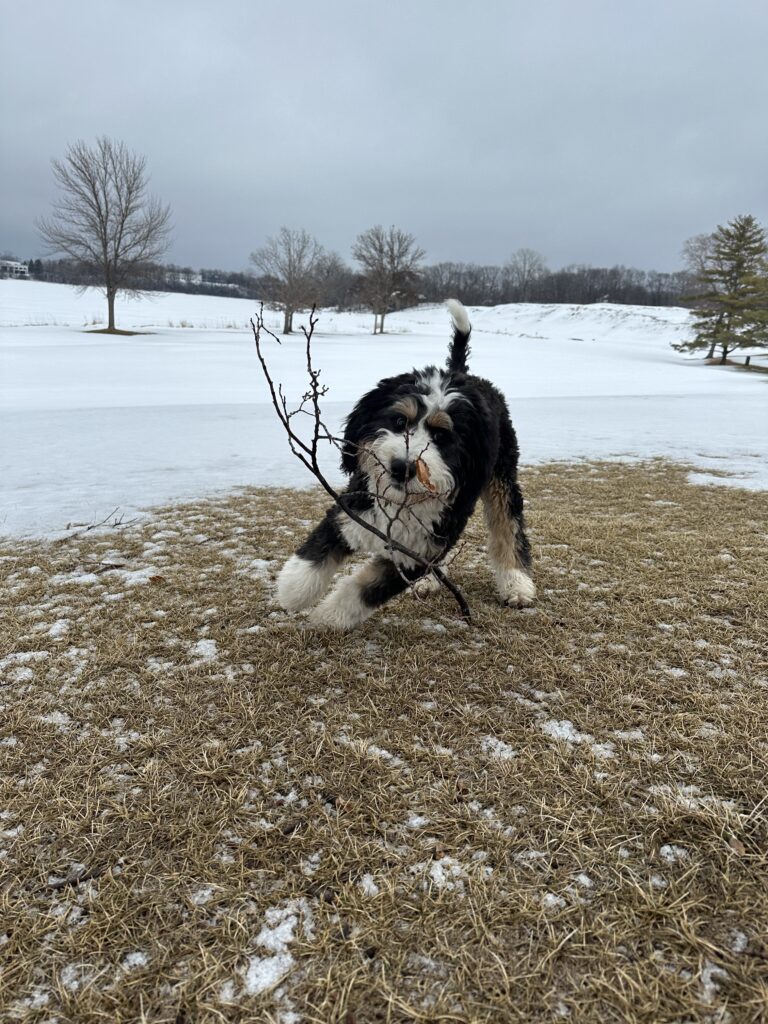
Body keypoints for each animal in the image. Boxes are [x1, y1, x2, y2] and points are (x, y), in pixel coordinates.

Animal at [276, 299, 536, 626]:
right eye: (400, 421)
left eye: (442, 436)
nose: (402, 467)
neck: (402, 504)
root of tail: (465, 376)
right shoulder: (354, 508)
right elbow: (319, 549)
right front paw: (292, 589)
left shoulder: (417, 551)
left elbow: (366, 589)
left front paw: (329, 616)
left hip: (502, 476)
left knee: (508, 526)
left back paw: (517, 584)